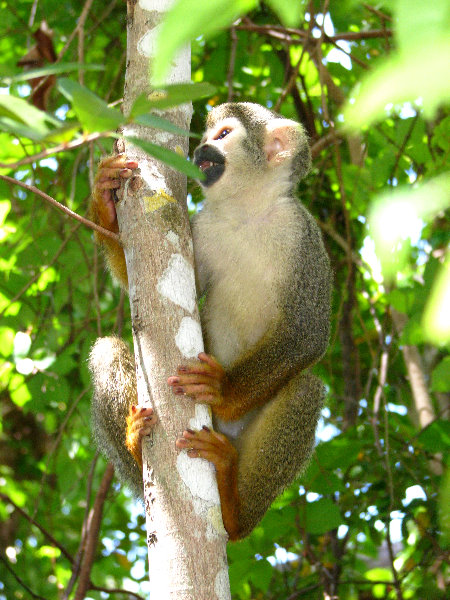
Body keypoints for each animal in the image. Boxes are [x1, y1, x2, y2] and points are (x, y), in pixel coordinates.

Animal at [89, 102, 332, 540]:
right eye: (204, 137)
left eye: (222, 135)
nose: (201, 148)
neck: (245, 212)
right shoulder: (200, 229)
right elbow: (147, 277)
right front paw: (105, 199)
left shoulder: (303, 234)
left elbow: (309, 330)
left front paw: (221, 389)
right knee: (105, 349)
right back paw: (138, 449)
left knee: (307, 388)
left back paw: (235, 509)